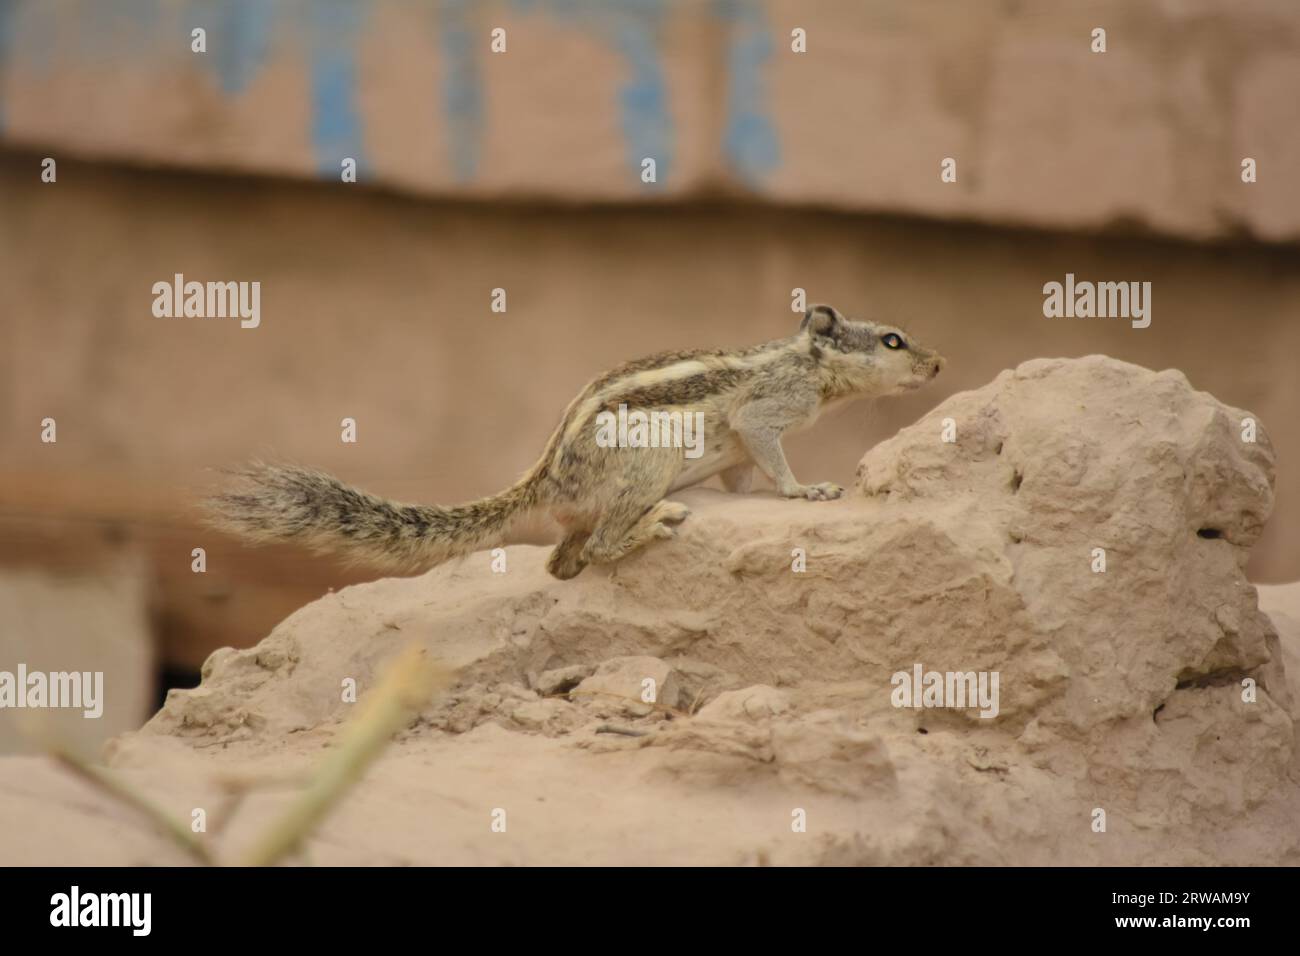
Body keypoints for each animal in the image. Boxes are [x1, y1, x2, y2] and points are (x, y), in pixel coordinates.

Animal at [210, 303, 946, 580]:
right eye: (892, 340)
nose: (940, 364)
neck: (807, 364)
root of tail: (545, 480)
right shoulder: (762, 416)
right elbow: (769, 451)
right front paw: (805, 488)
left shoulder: (739, 453)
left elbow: (741, 476)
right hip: (646, 464)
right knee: (597, 546)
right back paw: (651, 524)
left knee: (565, 560)